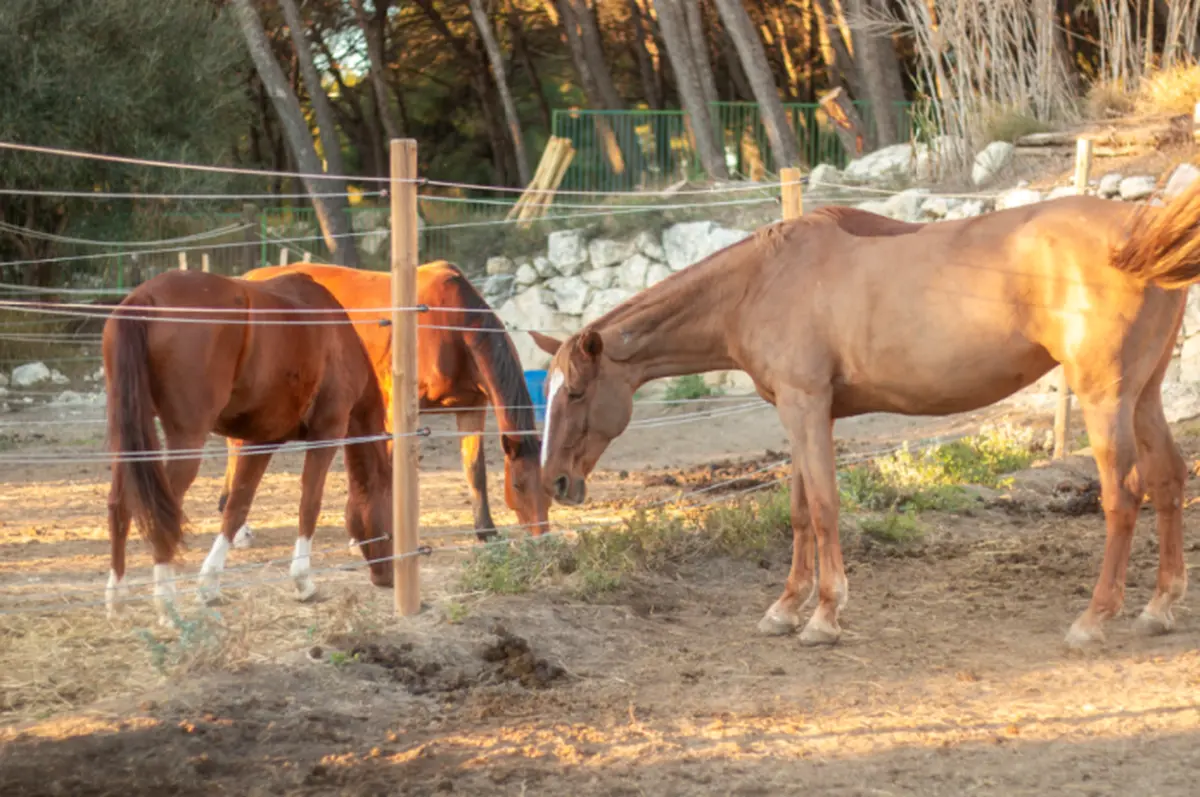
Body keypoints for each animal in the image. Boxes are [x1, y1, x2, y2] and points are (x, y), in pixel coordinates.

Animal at [102, 269, 395, 623]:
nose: (388, 578)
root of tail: (144, 299)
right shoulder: (327, 432)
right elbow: (309, 504)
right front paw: (303, 582)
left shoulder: (261, 440)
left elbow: (237, 505)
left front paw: (209, 586)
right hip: (187, 440)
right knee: (161, 511)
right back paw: (167, 605)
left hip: (129, 434)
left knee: (121, 503)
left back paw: (116, 598)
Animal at [215, 261, 548, 546]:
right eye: (517, 485)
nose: (542, 536)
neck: (452, 326)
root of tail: (247, 280)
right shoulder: (393, 409)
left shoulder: (471, 406)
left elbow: (474, 469)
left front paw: (486, 531)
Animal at [531, 177, 1200, 651]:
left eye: (578, 393)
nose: (555, 482)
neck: (758, 283)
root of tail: (1137, 234)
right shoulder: (801, 412)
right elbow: (801, 510)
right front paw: (785, 609)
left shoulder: (805, 406)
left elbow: (826, 507)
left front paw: (825, 616)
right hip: (1143, 395)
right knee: (1168, 479)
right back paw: (1159, 609)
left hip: (1106, 397)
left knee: (1124, 494)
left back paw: (1094, 619)